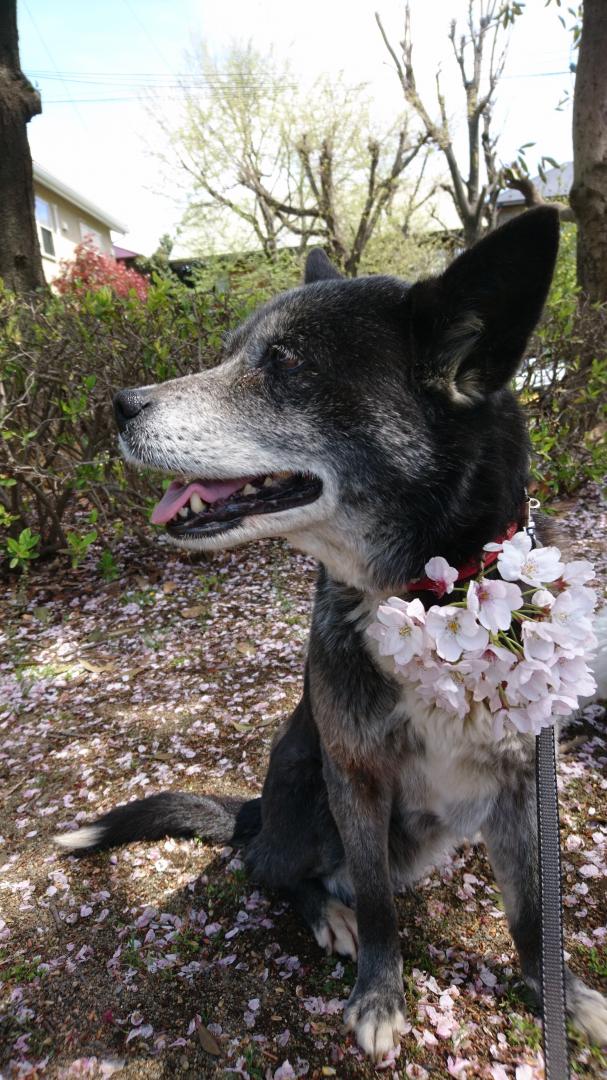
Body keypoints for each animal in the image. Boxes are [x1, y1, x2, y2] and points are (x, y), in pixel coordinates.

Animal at [54, 210, 600, 1062]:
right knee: (269, 871)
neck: (422, 595)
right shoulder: (353, 777)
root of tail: (254, 812)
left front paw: (561, 997)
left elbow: (532, 910)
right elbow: (377, 905)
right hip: (305, 791)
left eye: (283, 363)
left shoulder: (519, 784)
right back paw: (323, 911)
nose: (120, 404)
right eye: (234, 350)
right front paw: (378, 995)